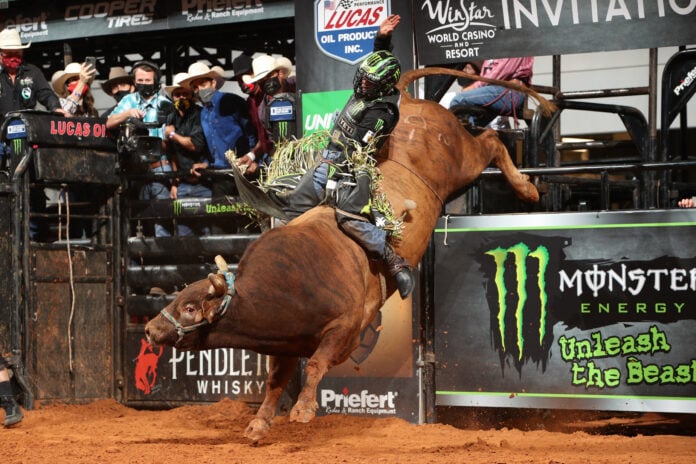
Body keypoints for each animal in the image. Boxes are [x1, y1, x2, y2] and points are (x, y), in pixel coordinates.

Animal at [145, 68, 556, 442]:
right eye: (180, 298)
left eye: (190, 307)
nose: (150, 329)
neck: (286, 284)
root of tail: (410, 101)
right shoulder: (283, 342)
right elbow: (275, 381)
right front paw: (259, 424)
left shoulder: (346, 329)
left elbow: (315, 365)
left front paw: (303, 411)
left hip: (461, 159)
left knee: (490, 140)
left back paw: (527, 188)